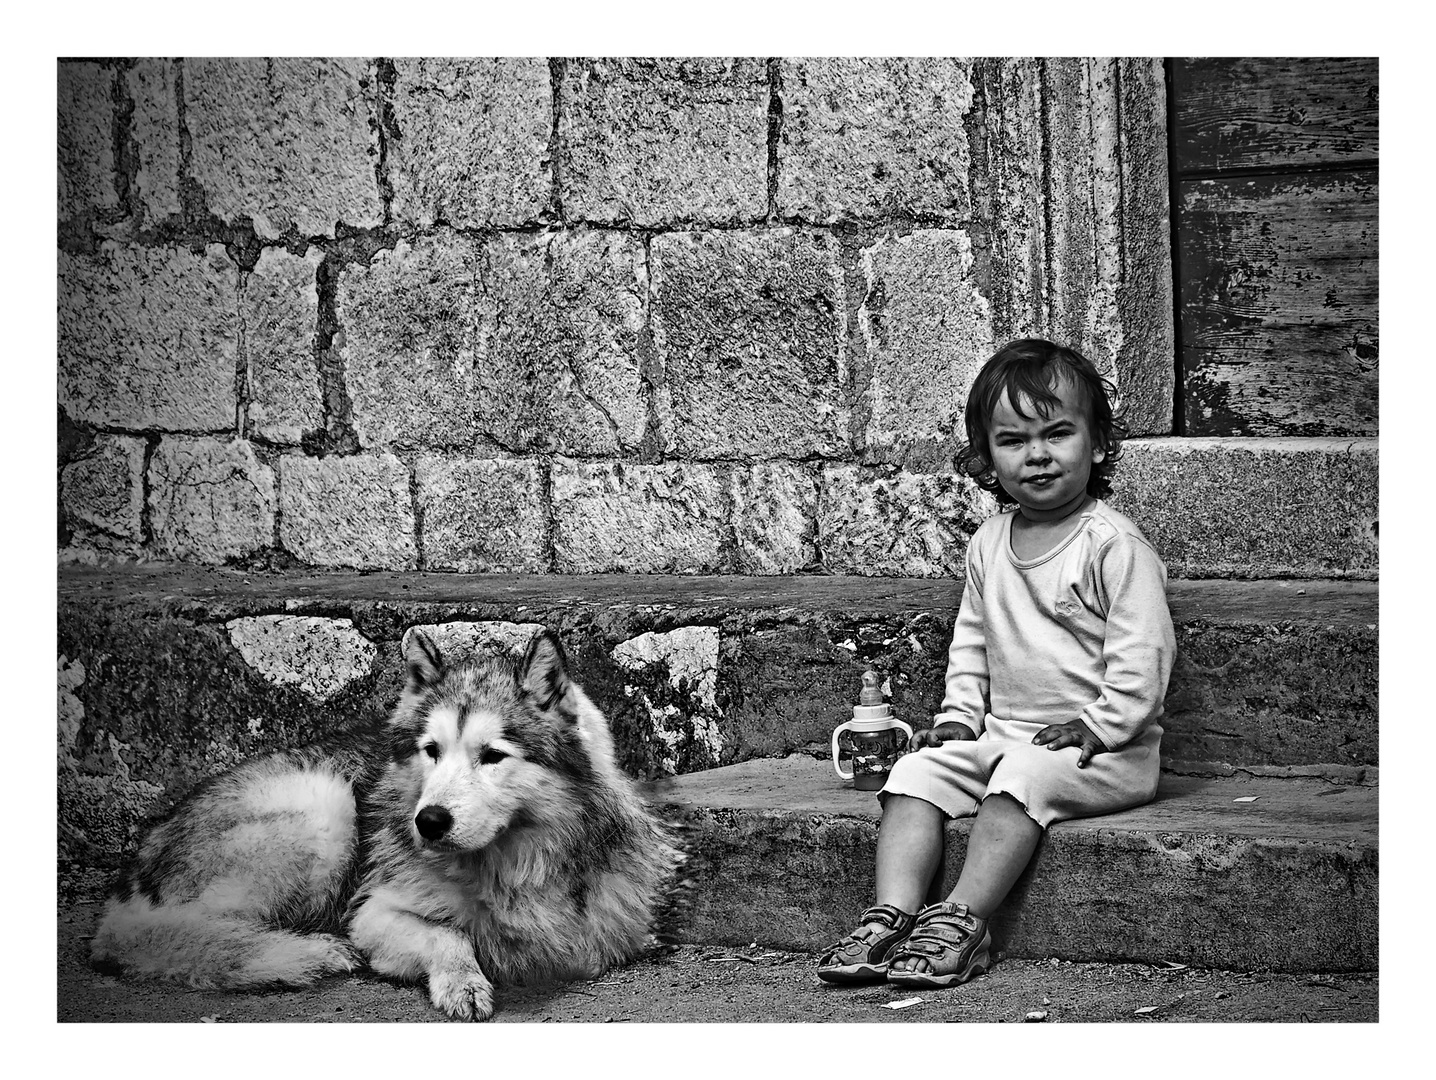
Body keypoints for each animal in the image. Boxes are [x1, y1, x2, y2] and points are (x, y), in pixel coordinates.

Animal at [92, 629, 686, 1016]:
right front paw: (462, 982)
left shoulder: (607, 936)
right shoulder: (373, 914)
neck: (509, 866)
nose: (430, 821)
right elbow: (449, 933)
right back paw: (307, 952)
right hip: (324, 807)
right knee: (183, 939)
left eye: (492, 756)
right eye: (431, 751)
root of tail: (147, 847)